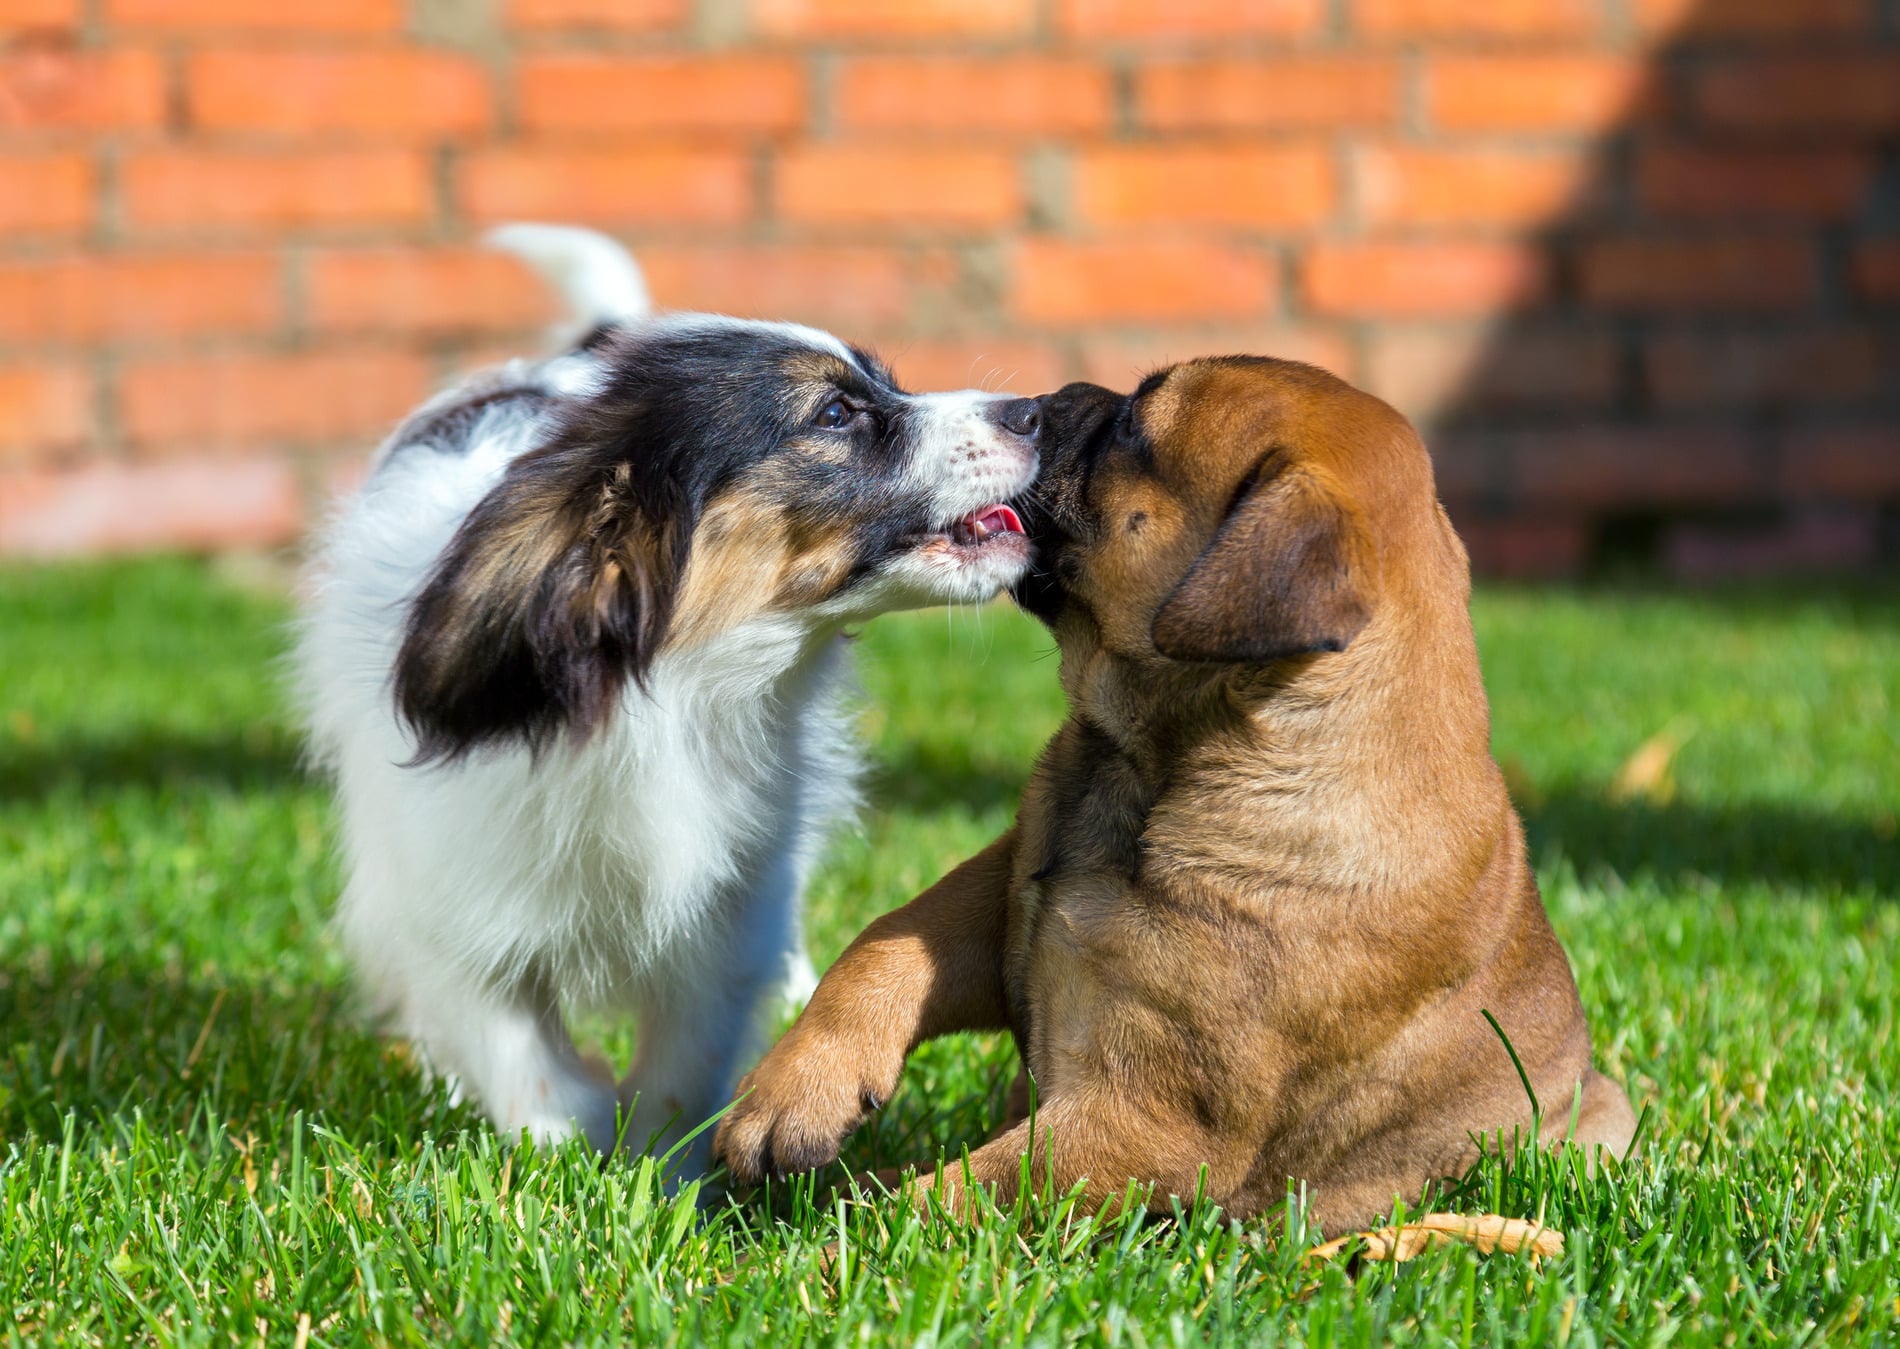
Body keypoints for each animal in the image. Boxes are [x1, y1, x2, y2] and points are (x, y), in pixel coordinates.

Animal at [296, 229, 1041, 1170]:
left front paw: (664, 1169)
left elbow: (686, 1064)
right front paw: (572, 1151)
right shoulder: (453, 910)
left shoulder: (726, 910)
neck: (674, 692)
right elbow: (522, 1057)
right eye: (836, 415)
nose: (1038, 412)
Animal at [714, 359, 1634, 1238]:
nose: (1039, 404)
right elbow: (886, 943)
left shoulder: (1144, 1120)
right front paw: (789, 1092)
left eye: (1133, 428)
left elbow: (957, 1194)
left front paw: (824, 1251)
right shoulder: (1000, 892)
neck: (1146, 762)